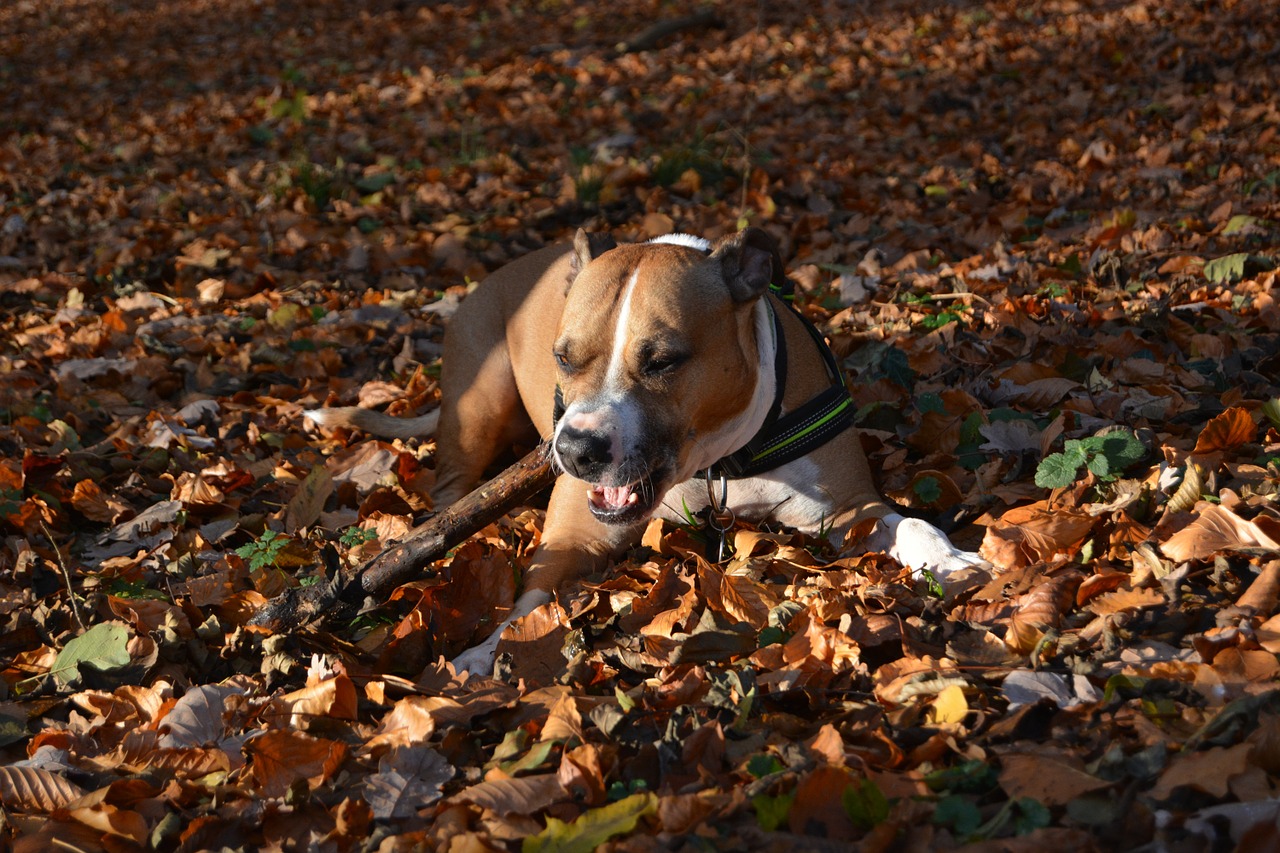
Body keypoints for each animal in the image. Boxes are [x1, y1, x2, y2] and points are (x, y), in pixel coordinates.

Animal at [312, 229, 988, 676]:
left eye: (663, 361)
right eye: (563, 357)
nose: (577, 448)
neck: (714, 465)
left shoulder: (850, 509)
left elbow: (914, 525)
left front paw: (952, 560)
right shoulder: (575, 535)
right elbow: (527, 606)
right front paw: (485, 652)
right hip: (477, 401)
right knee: (452, 483)